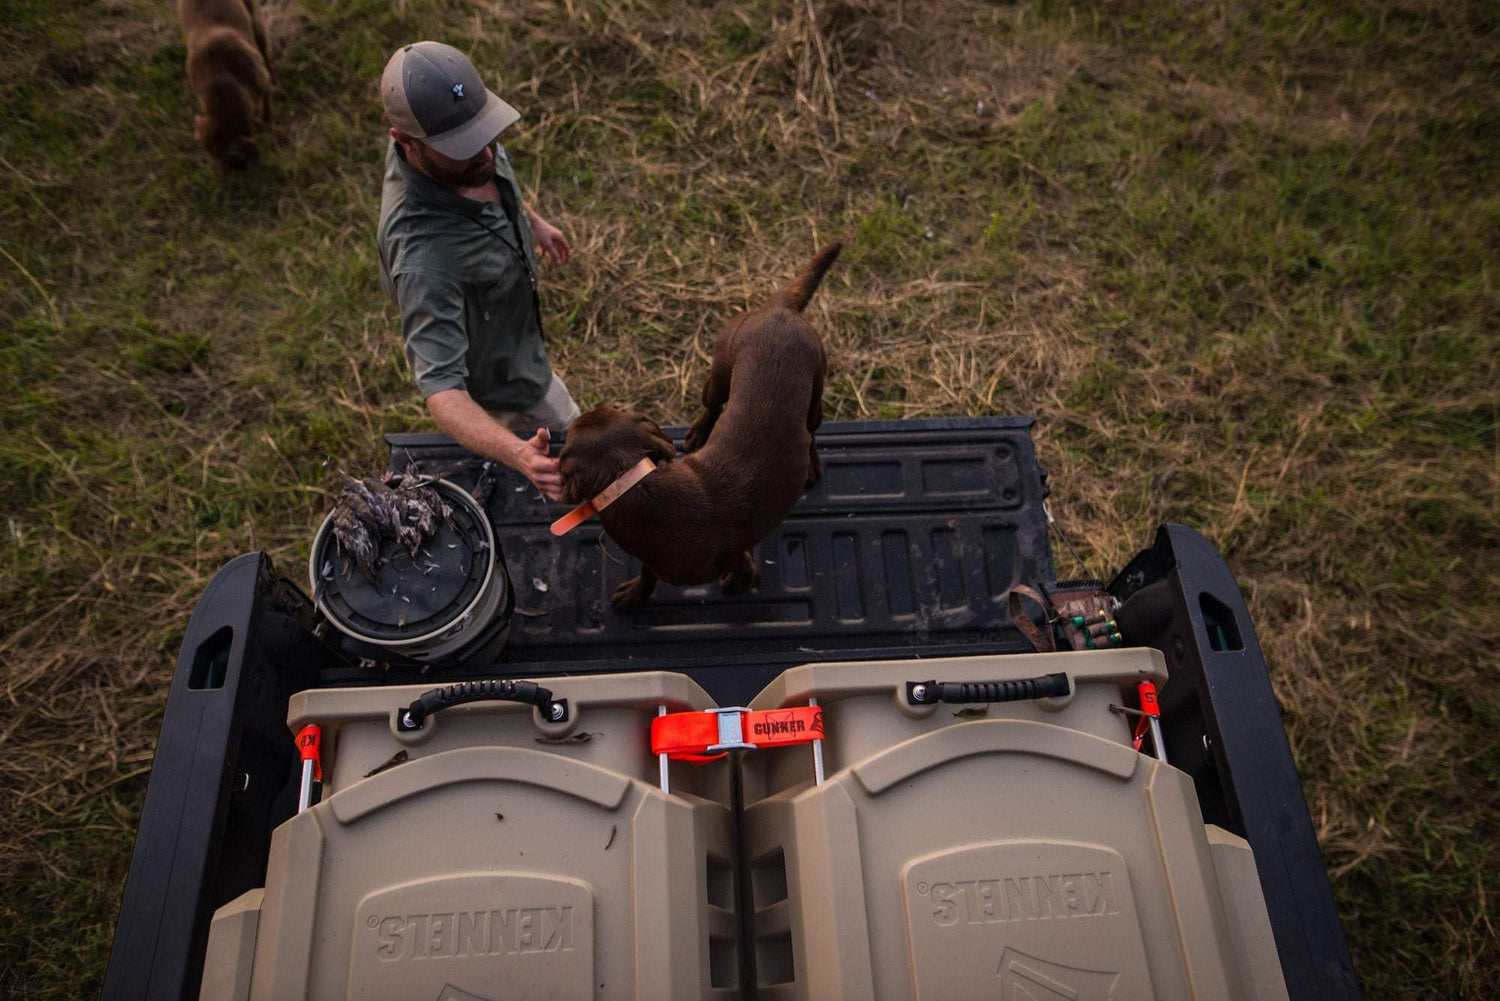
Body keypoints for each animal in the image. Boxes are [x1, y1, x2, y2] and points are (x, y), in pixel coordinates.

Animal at [178, 0, 273, 169]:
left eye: (231, 157)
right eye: (216, 157)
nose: (223, 171)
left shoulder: (261, 79)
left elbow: (266, 99)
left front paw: (265, 118)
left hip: (254, 19)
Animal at [564, 246, 846, 615]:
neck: (631, 479)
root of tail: (779, 310)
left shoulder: (733, 556)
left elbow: (740, 568)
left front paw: (739, 585)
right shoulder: (655, 559)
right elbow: (648, 574)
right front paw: (637, 594)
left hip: (791, 388)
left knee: (804, 429)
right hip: (725, 375)